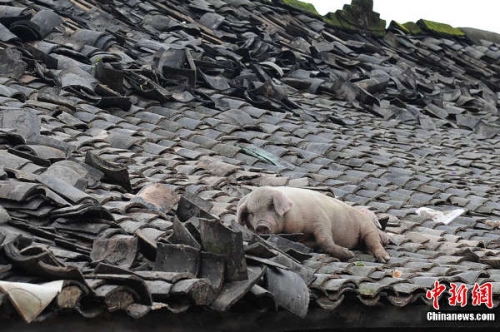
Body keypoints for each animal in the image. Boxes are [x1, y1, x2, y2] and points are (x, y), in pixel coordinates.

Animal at [237, 187, 390, 262]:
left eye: (271, 206)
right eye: (251, 213)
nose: (261, 225)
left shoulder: (320, 219)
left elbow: (325, 239)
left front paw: (350, 255)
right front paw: (349, 254)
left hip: (367, 227)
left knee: (374, 241)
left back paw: (385, 258)